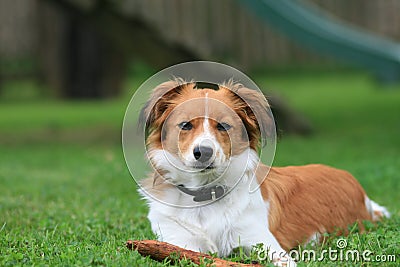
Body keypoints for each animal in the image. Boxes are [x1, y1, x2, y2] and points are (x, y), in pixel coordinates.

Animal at [138, 79, 390, 266]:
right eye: (185, 125)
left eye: (223, 126)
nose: (204, 153)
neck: (205, 193)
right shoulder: (178, 241)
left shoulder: (264, 244)